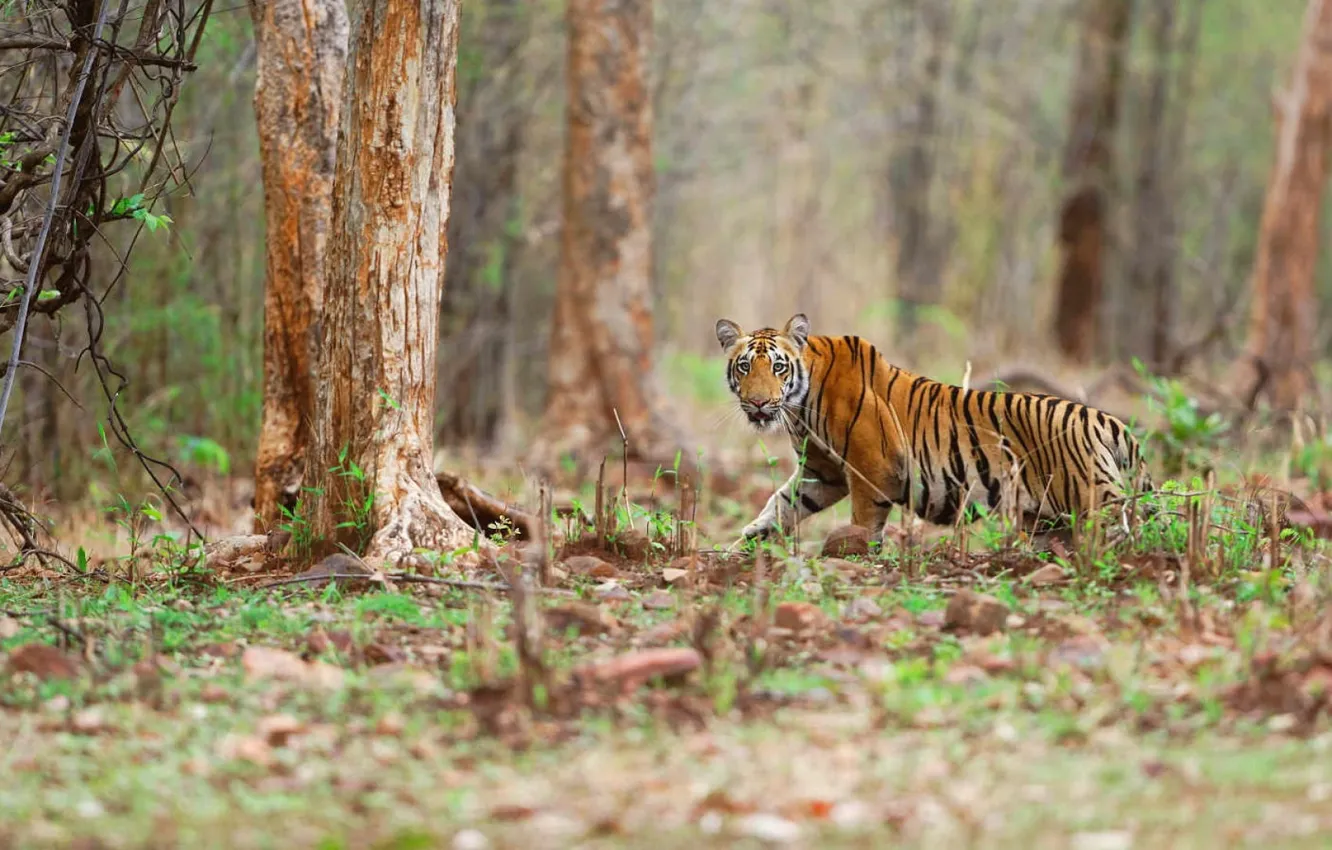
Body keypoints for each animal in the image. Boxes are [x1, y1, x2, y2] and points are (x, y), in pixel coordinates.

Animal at [716, 313, 1153, 546]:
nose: (758, 403)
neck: (799, 406)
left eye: (778, 367)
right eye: (744, 366)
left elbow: (862, 520)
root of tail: (1107, 420)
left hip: (1094, 499)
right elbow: (778, 506)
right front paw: (743, 547)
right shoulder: (820, 473)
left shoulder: (871, 468)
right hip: (1049, 516)